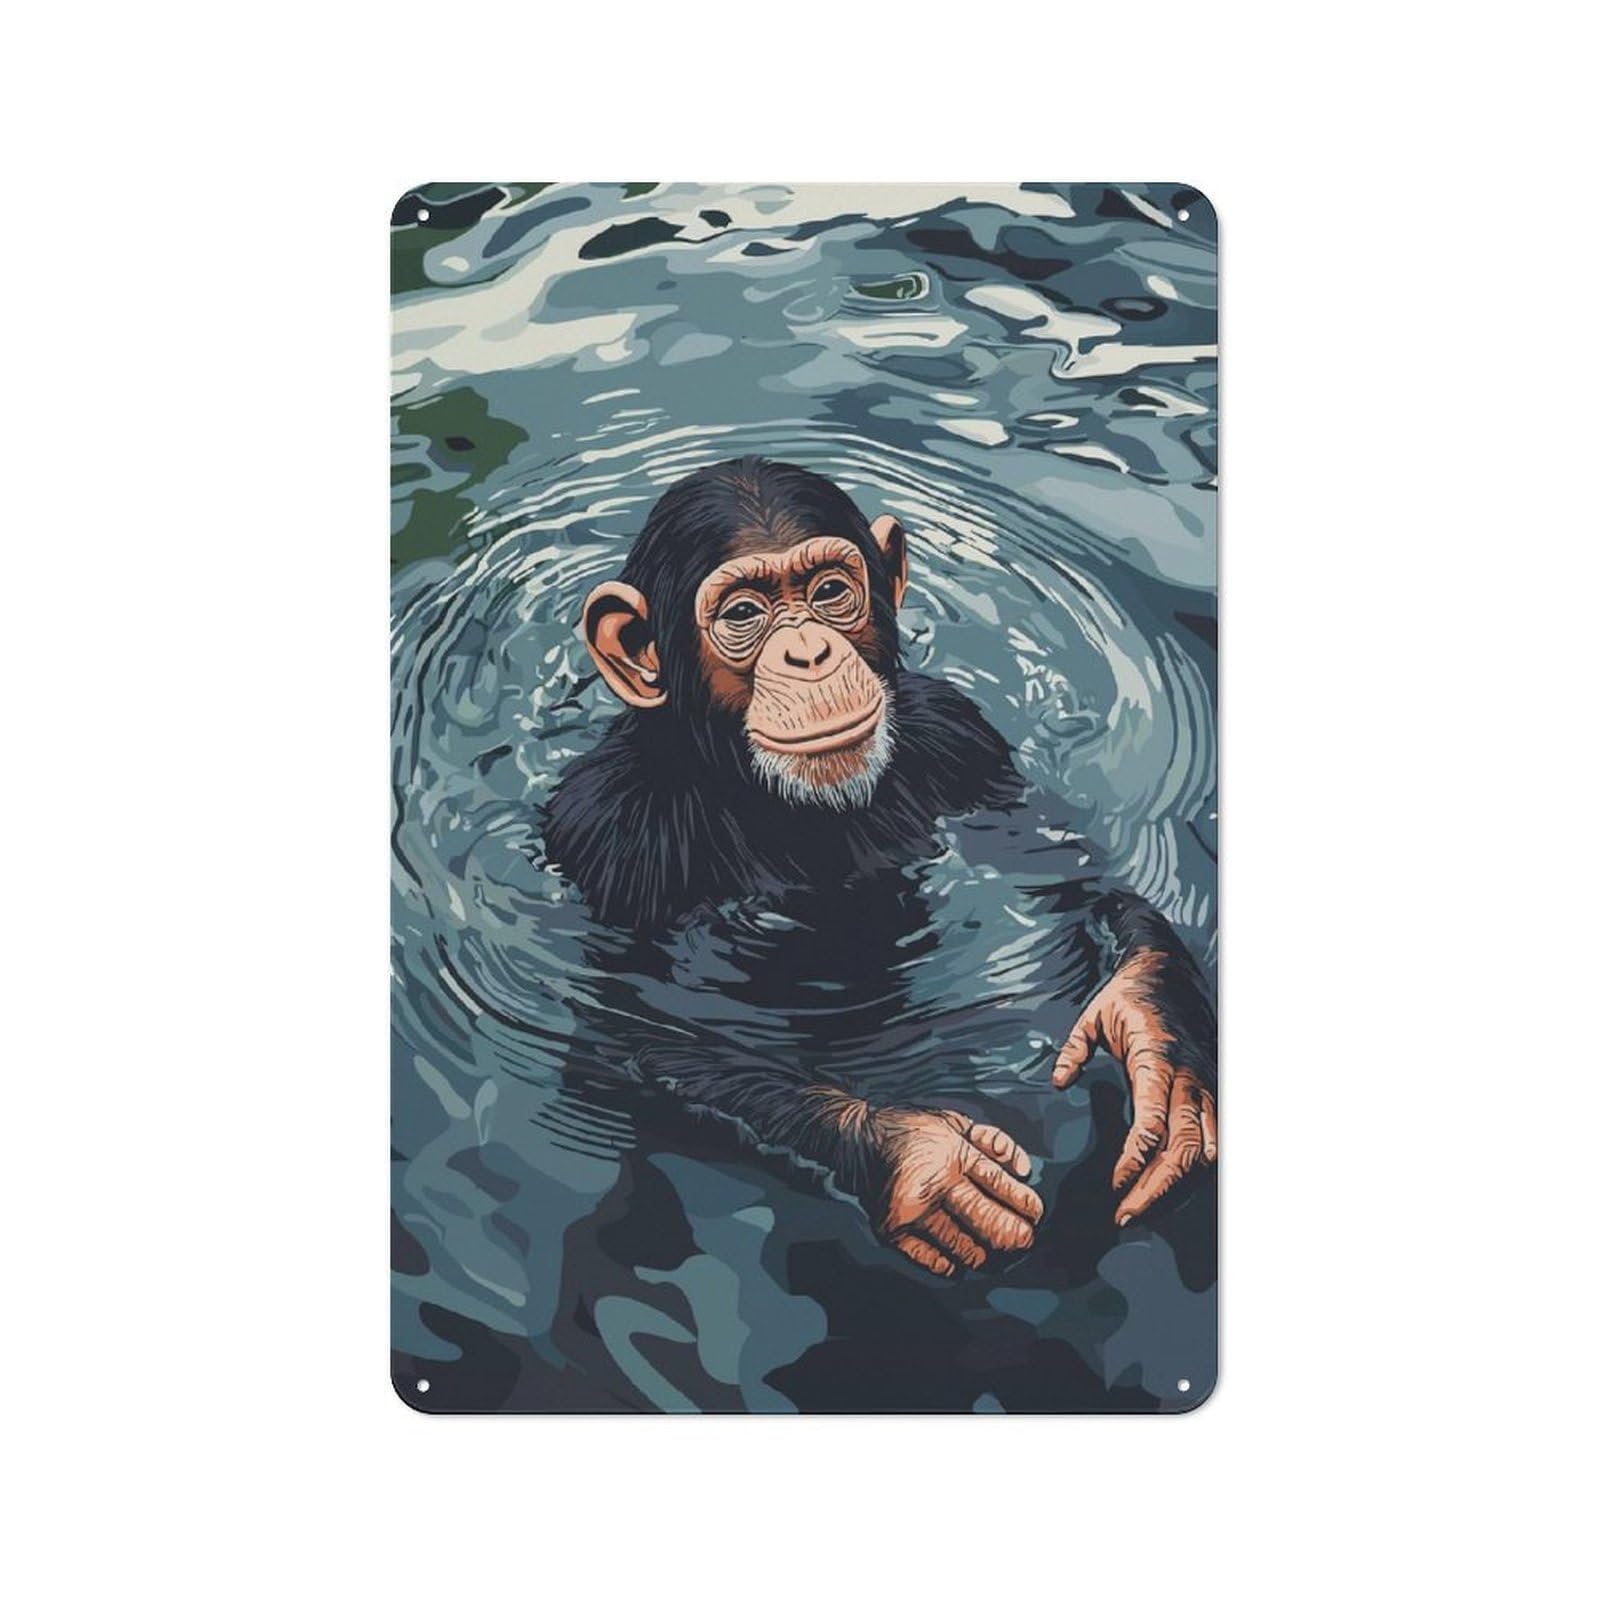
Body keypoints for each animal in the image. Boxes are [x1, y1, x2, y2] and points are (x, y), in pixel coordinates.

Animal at [541, 457, 1216, 1278]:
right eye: (744, 612)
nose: (809, 653)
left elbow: (1060, 867)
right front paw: (915, 1161)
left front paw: (1157, 1033)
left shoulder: (960, 733)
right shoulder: (611, 831)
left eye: (830, 592)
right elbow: (632, 1028)